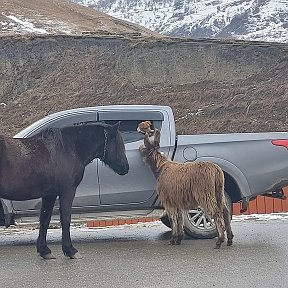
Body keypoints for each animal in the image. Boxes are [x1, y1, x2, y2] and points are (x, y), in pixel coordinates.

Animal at [0, 121, 129, 258]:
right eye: (119, 144)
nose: (126, 168)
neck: (68, 149)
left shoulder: (49, 195)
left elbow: (45, 219)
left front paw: (44, 250)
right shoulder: (67, 191)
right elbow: (66, 218)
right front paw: (70, 250)